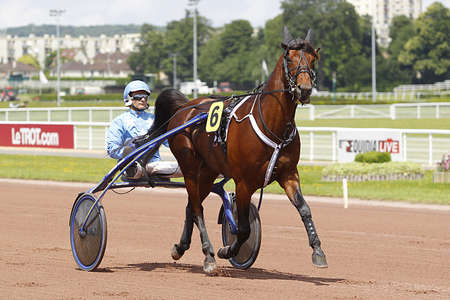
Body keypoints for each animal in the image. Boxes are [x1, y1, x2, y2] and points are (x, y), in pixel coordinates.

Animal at [149, 27, 328, 274]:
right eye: (289, 58)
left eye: (313, 59)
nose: (305, 89)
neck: (272, 124)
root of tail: (185, 107)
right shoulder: (244, 182)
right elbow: (243, 228)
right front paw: (228, 251)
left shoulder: (289, 174)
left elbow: (304, 209)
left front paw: (318, 250)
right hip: (188, 166)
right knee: (197, 208)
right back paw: (209, 255)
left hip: (208, 170)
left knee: (191, 206)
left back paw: (181, 247)